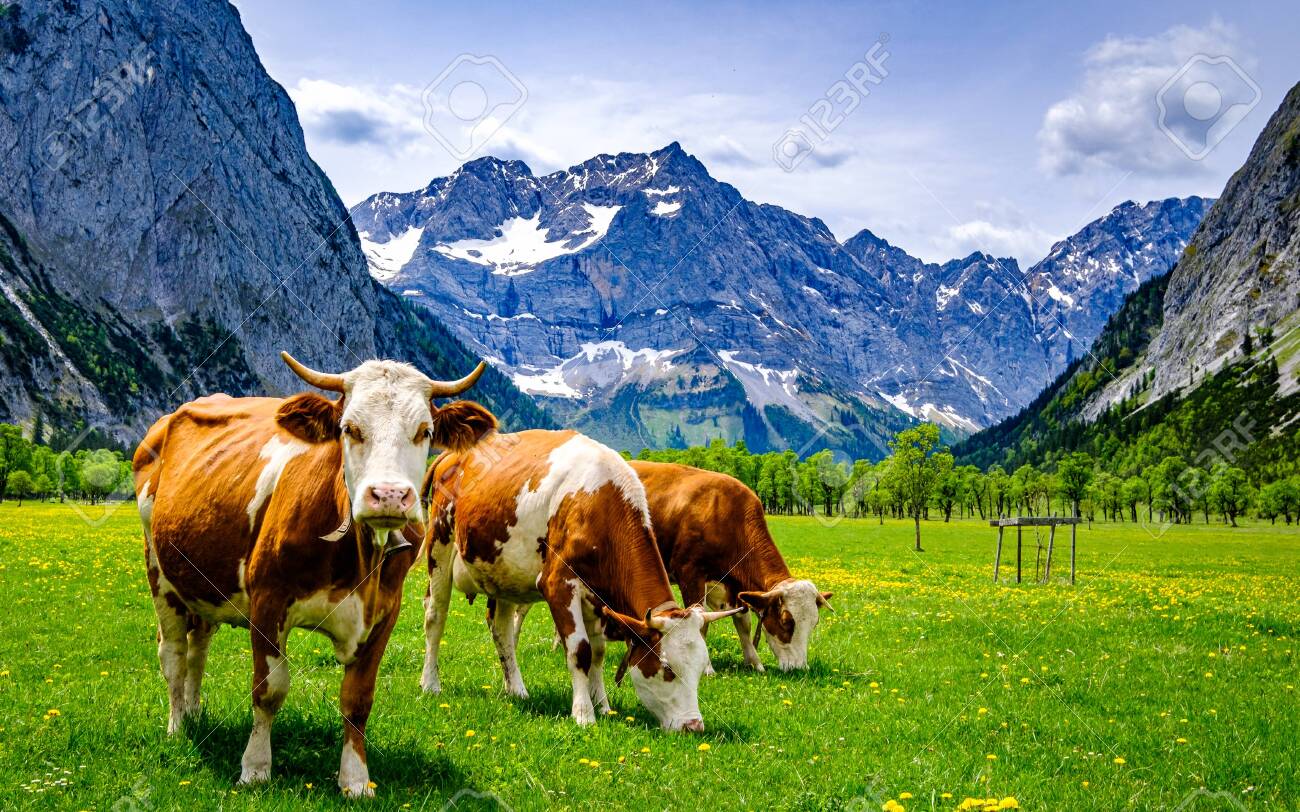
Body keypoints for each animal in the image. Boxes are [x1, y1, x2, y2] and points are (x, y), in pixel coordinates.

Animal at [133, 351, 495, 797]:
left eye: (424, 431)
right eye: (349, 429)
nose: (389, 496)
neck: (358, 559)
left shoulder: (386, 613)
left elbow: (358, 699)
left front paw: (355, 779)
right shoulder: (268, 603)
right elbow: (269, 690)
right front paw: (255, 768)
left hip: (204, 586)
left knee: (198, 649)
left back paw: (194, 711)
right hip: (159, 571)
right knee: (173, 655)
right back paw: (178, 725)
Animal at [419, 429, 742, 731]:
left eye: (700, 669)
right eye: (667, 668)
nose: (693, 726)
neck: (599, 501)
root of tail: (453, 454)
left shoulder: (598, 596)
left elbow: (598, 653)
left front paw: (604, 706)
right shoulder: (558, 583)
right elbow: (580, 650)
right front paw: (584, 713)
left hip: (503, 573)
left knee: (501, 630)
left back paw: (516, 689)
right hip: (439, 544)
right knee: (436, 616)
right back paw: (430, 683)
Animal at [629, 460, 833, 672]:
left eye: (814, 623)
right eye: (786, 622)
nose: (800, 668)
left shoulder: (735, 586)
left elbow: (744, 624)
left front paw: (755, 663)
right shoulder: (690, 574)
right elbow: (702, 623)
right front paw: (707, 668)